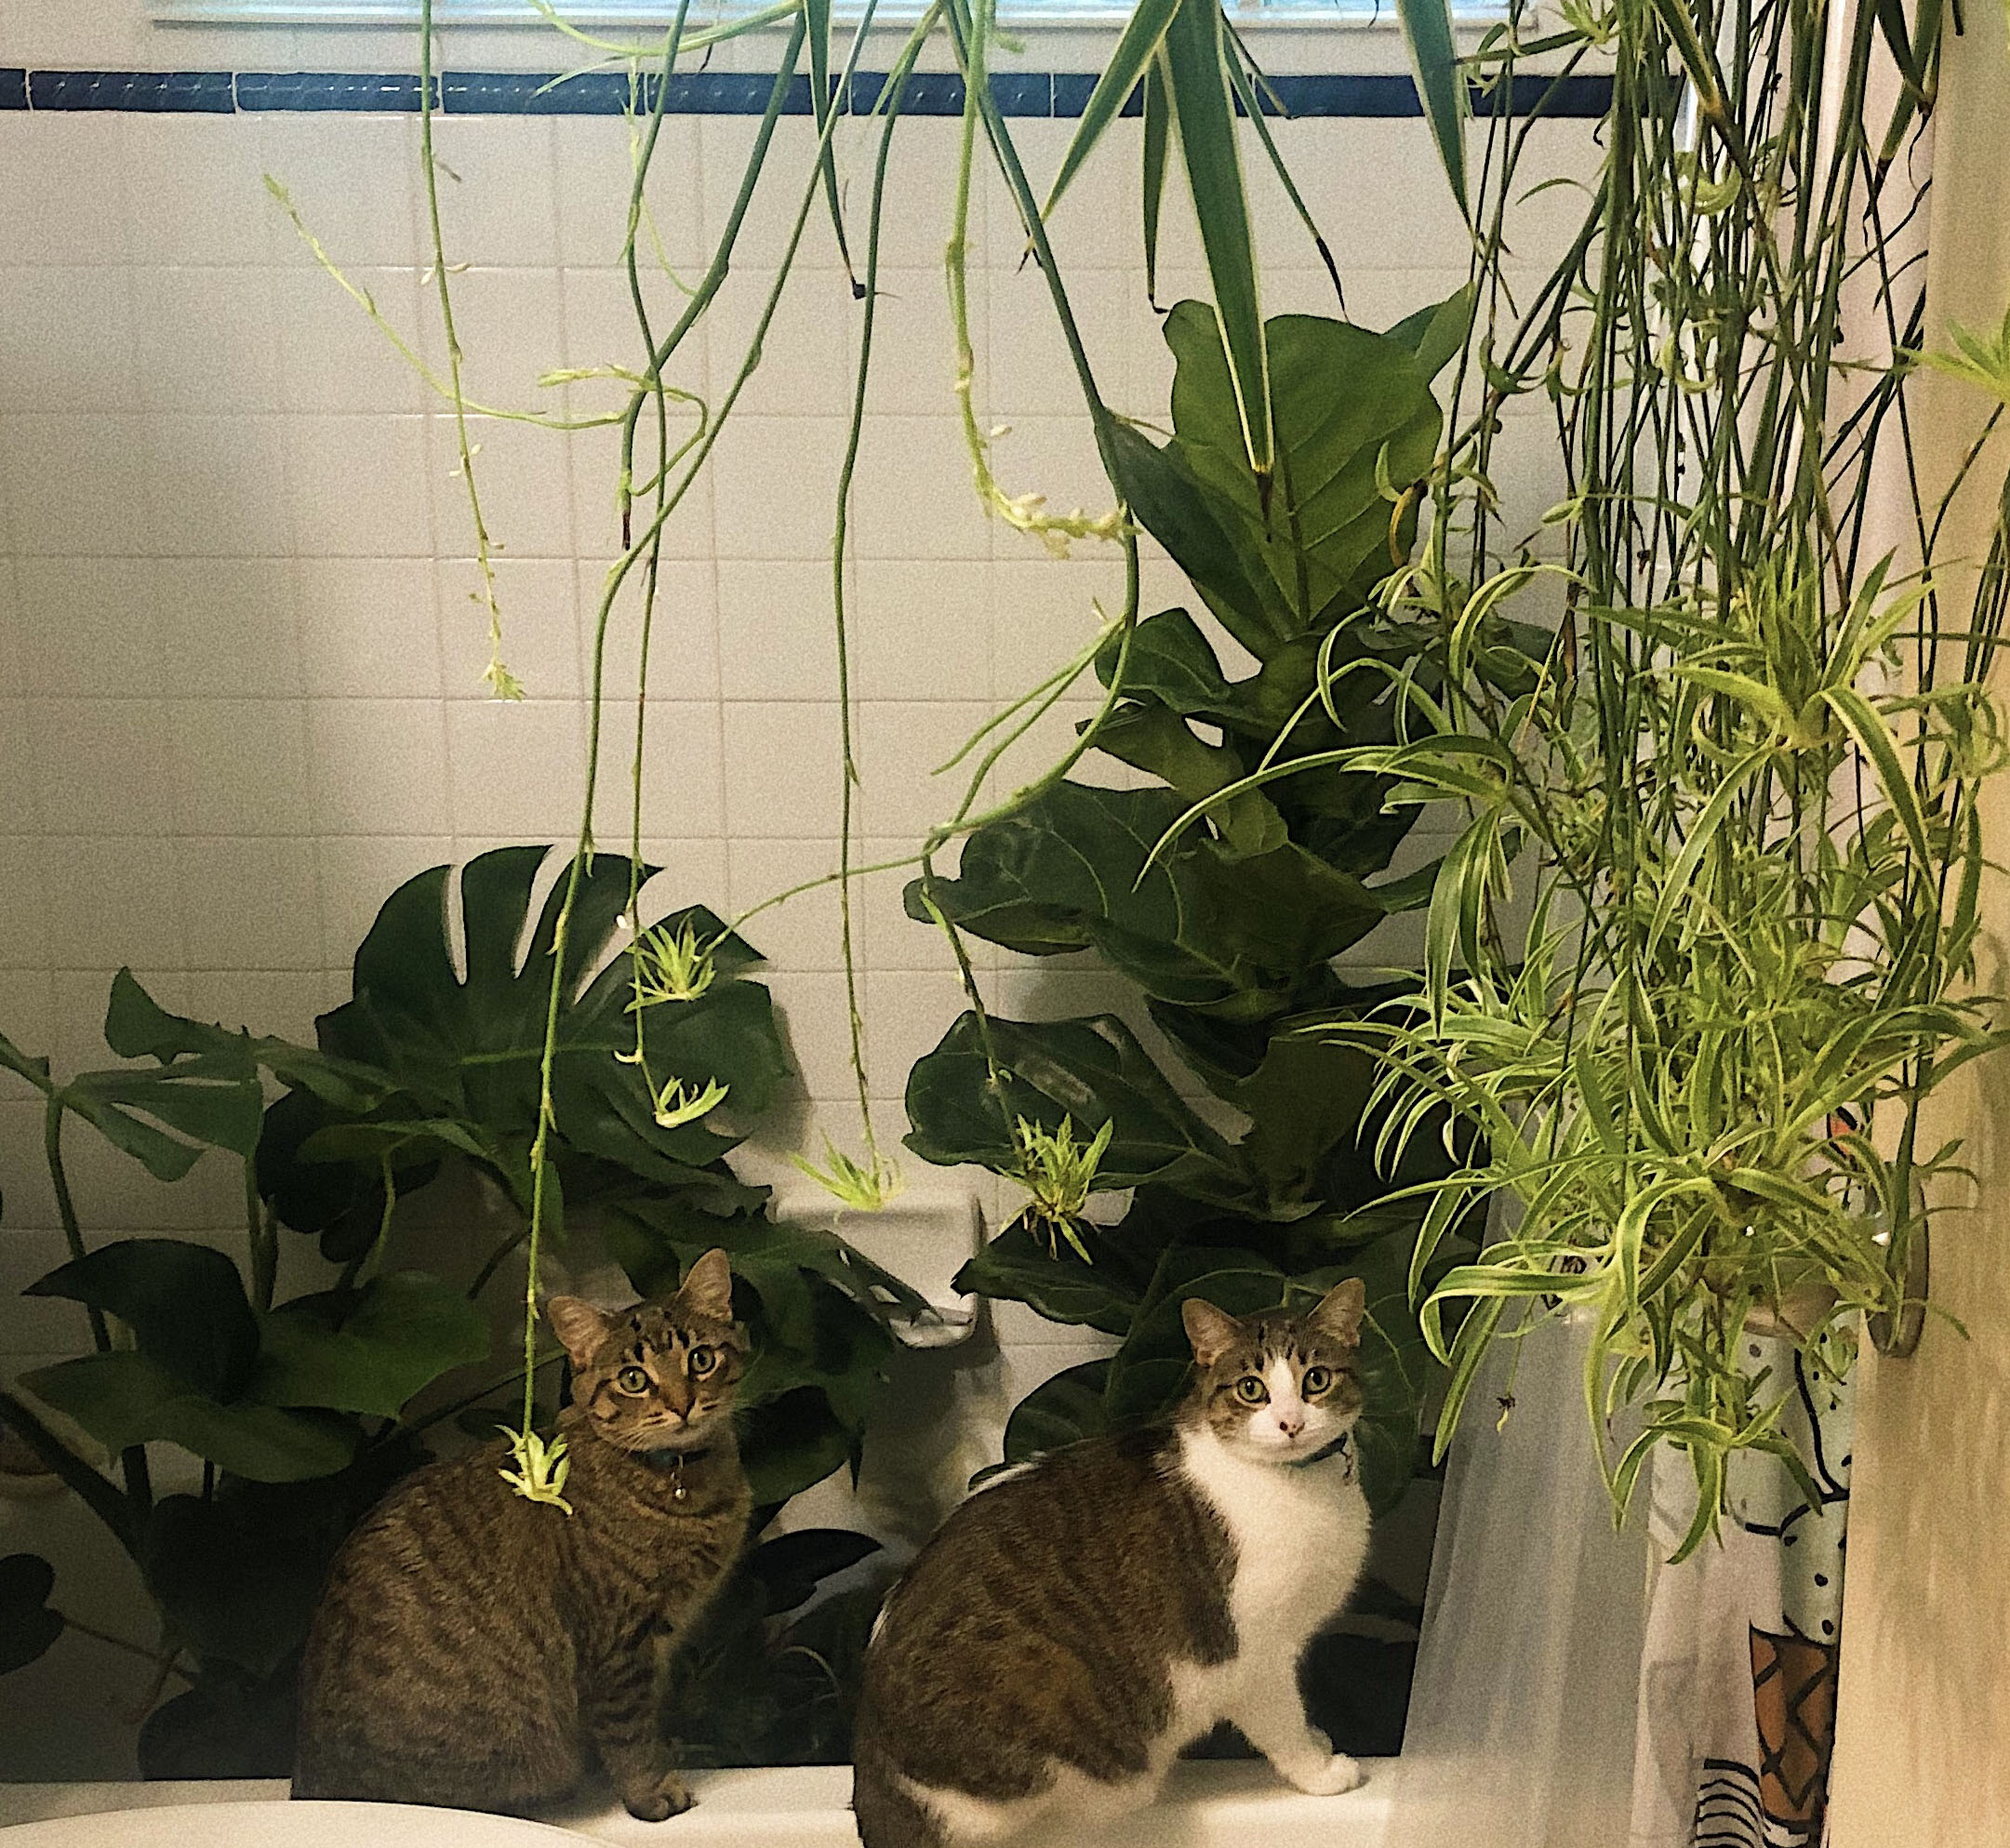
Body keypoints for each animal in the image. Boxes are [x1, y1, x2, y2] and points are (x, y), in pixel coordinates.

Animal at [287, 1246, 752, 1817]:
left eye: (701, 1360)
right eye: (633, 1379)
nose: (683, 1403)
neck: (683, 1483)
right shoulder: (618, 1647)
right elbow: (629, 1736)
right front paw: (651, 1790)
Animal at [856, 1279, 1375, 1841]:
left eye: (1316, 1380)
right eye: (1251, 1389)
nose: (1290, 1423)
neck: (1303, 1484)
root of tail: (873, 1772)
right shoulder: (1254, 1654)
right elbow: (1283, 1725)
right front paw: (1321, 1771)